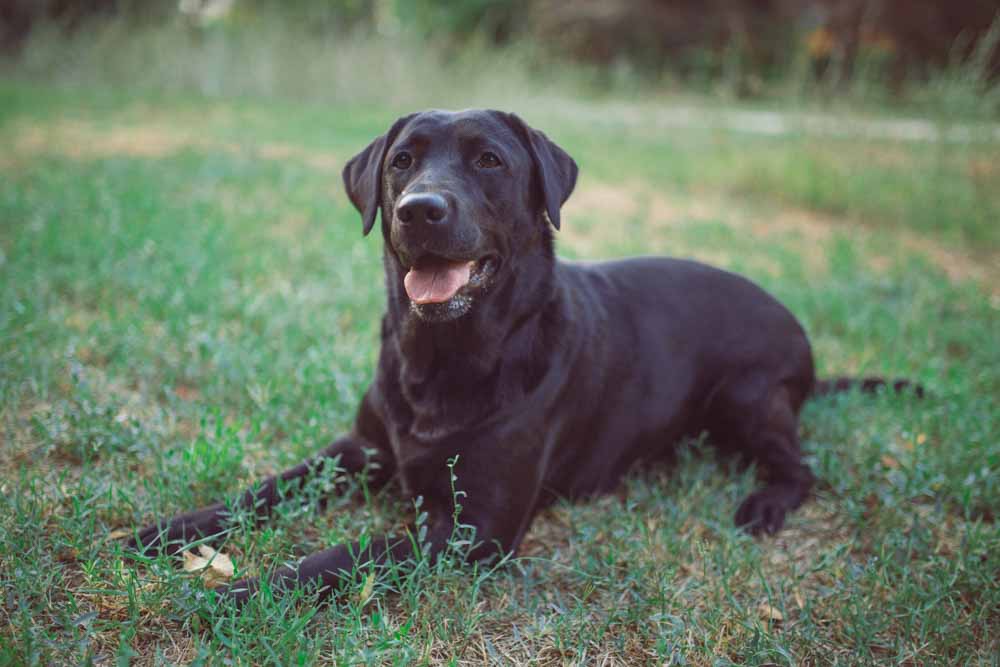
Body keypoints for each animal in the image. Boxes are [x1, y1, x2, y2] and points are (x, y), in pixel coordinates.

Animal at [133, 111, 916, 604]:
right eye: (401, 161)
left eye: (490, 160)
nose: (420, 209)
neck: (444, 357)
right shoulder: (356, 448)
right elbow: (264, 488)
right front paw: (167, 531)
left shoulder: (474, 529)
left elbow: (351, 552)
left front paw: (244, 590)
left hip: (748, 397)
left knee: (801, 464)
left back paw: (765, 501)